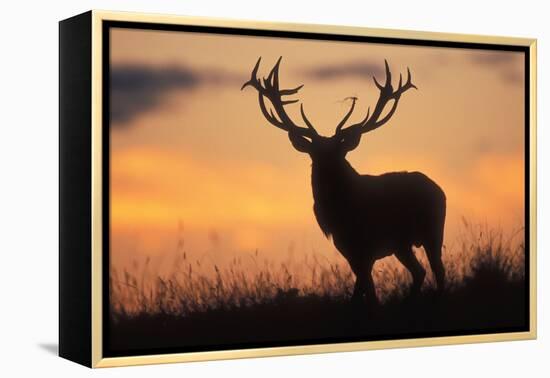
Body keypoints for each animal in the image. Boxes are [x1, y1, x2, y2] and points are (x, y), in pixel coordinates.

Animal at [243, 56, 448, 304]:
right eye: (314, 154)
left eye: (339, 152)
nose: (326, 172)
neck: (341, 215)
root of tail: (439, 189)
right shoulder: (348, 248)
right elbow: (361, 291)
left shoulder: (366, 246)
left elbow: (366, 291)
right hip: (403, 244)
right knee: (420, 271)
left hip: (432, 230)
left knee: (438, 270)